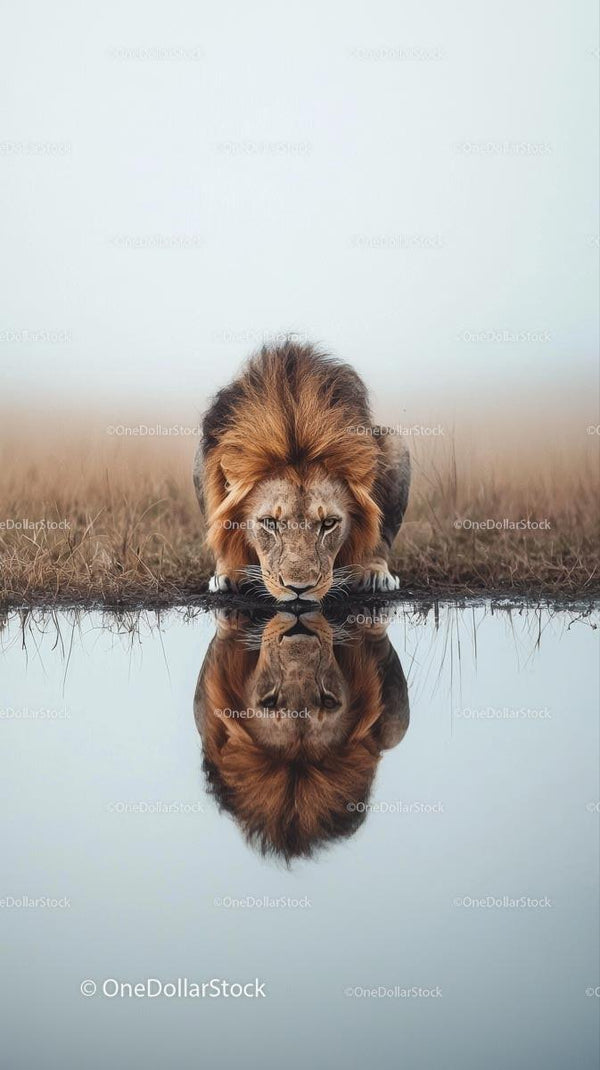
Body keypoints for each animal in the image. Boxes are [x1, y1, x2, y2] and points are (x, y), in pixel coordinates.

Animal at [194, 340, 410, 601]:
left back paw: (375, 574)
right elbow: (221, 526)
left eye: (329, 523)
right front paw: (227, 572)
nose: (299, 589)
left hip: (395, 441)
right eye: (269, 523)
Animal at [194, 608, 409, 861]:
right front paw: (232, 616)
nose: (299, 637)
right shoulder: (208, 713)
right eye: (269, 701)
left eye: (328, 700)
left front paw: (372, 617)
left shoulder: (393, 724)